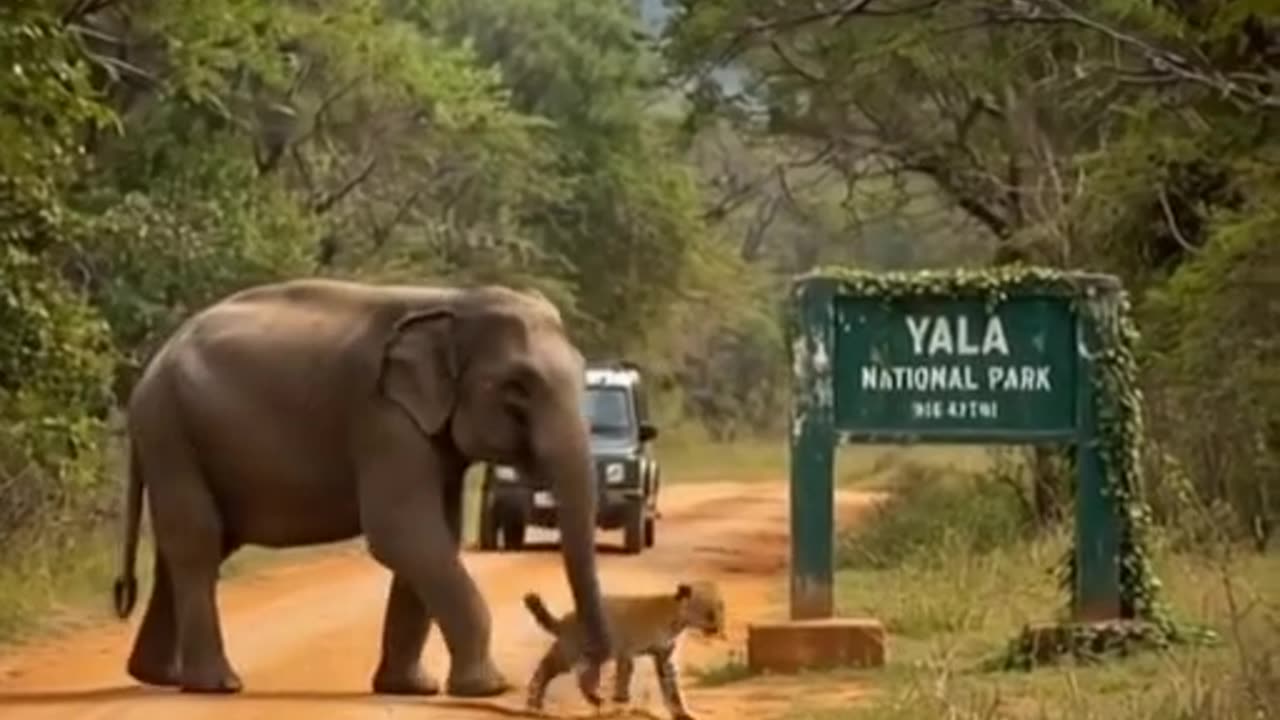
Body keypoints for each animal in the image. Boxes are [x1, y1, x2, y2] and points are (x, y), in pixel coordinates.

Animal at [108, 278, 609, 691]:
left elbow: (435, 536)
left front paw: (412, 689)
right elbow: (403, 533)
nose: (592, 665)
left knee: (189, 548)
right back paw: (218, 685)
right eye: (517, 389)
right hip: (170, 430)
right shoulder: (382, 419)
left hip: (177, 434)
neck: (453, 301)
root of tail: (151, 369)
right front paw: (488, 689)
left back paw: (157, 677)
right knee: (198, 544)